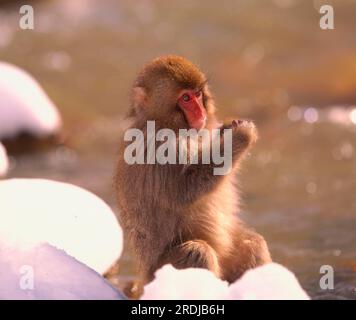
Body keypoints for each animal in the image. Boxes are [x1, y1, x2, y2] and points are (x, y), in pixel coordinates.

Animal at [115, 55, 272, 288]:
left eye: (198, 94)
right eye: (186, 98)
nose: (201, 113)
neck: (171, 124)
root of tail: (142, 281)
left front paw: (227, 130)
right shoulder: (157, 148)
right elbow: (183, 192)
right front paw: (241, 135)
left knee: (252, 242)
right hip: (160, 274)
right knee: (198, 251)